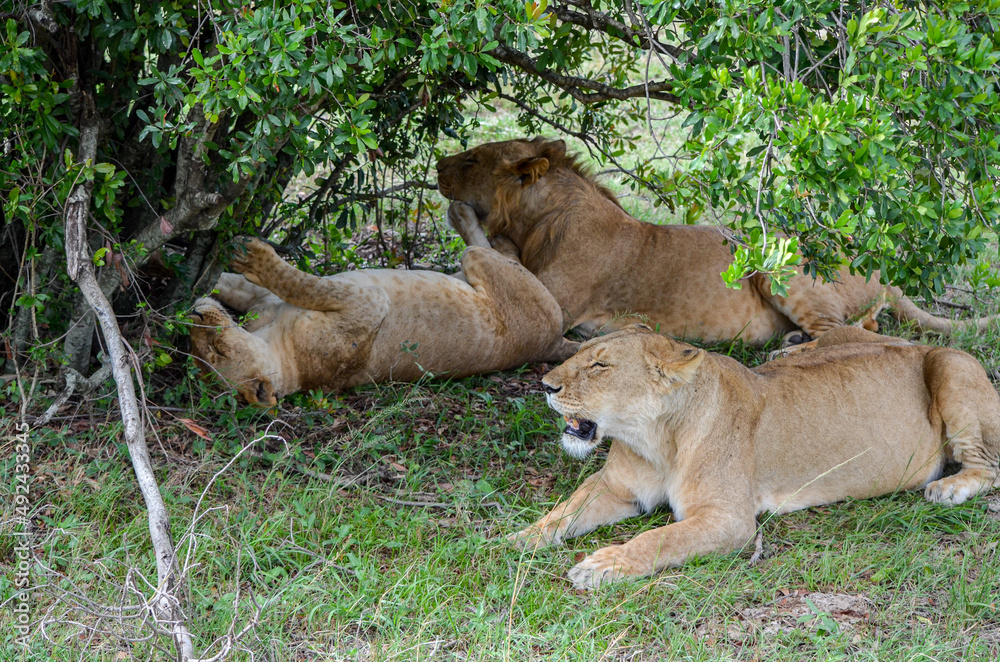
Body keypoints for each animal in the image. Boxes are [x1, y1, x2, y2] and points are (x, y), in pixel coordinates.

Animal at [189, 212, 577, 404]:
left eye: (214, 349)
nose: (193, 317)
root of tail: (553, 344)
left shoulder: (268, 301)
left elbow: (256, 284)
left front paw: (212, 272)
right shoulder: (368, 303)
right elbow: (298, 281)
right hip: (486, 266)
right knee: (492, 250)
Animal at [436, 137, 997, 345]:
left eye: (471, 159)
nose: (439, 164)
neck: (537, 220)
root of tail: (875, 263)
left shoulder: (556, 302)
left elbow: (492, 253)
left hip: (778, 266)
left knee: (854, 332)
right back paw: (791, 341)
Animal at [511, 324, 1000, 589]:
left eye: (600, 366)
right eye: (578, 355)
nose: (546, 385)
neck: (656, 440)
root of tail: (917, 344)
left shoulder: (730, 520)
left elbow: (659, 538)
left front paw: (603, 564)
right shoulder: (614, 488)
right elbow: (567, 508)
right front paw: (523, 537)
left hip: (950, 365)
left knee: (987, 466)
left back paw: (949, 488)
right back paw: (788, 348)